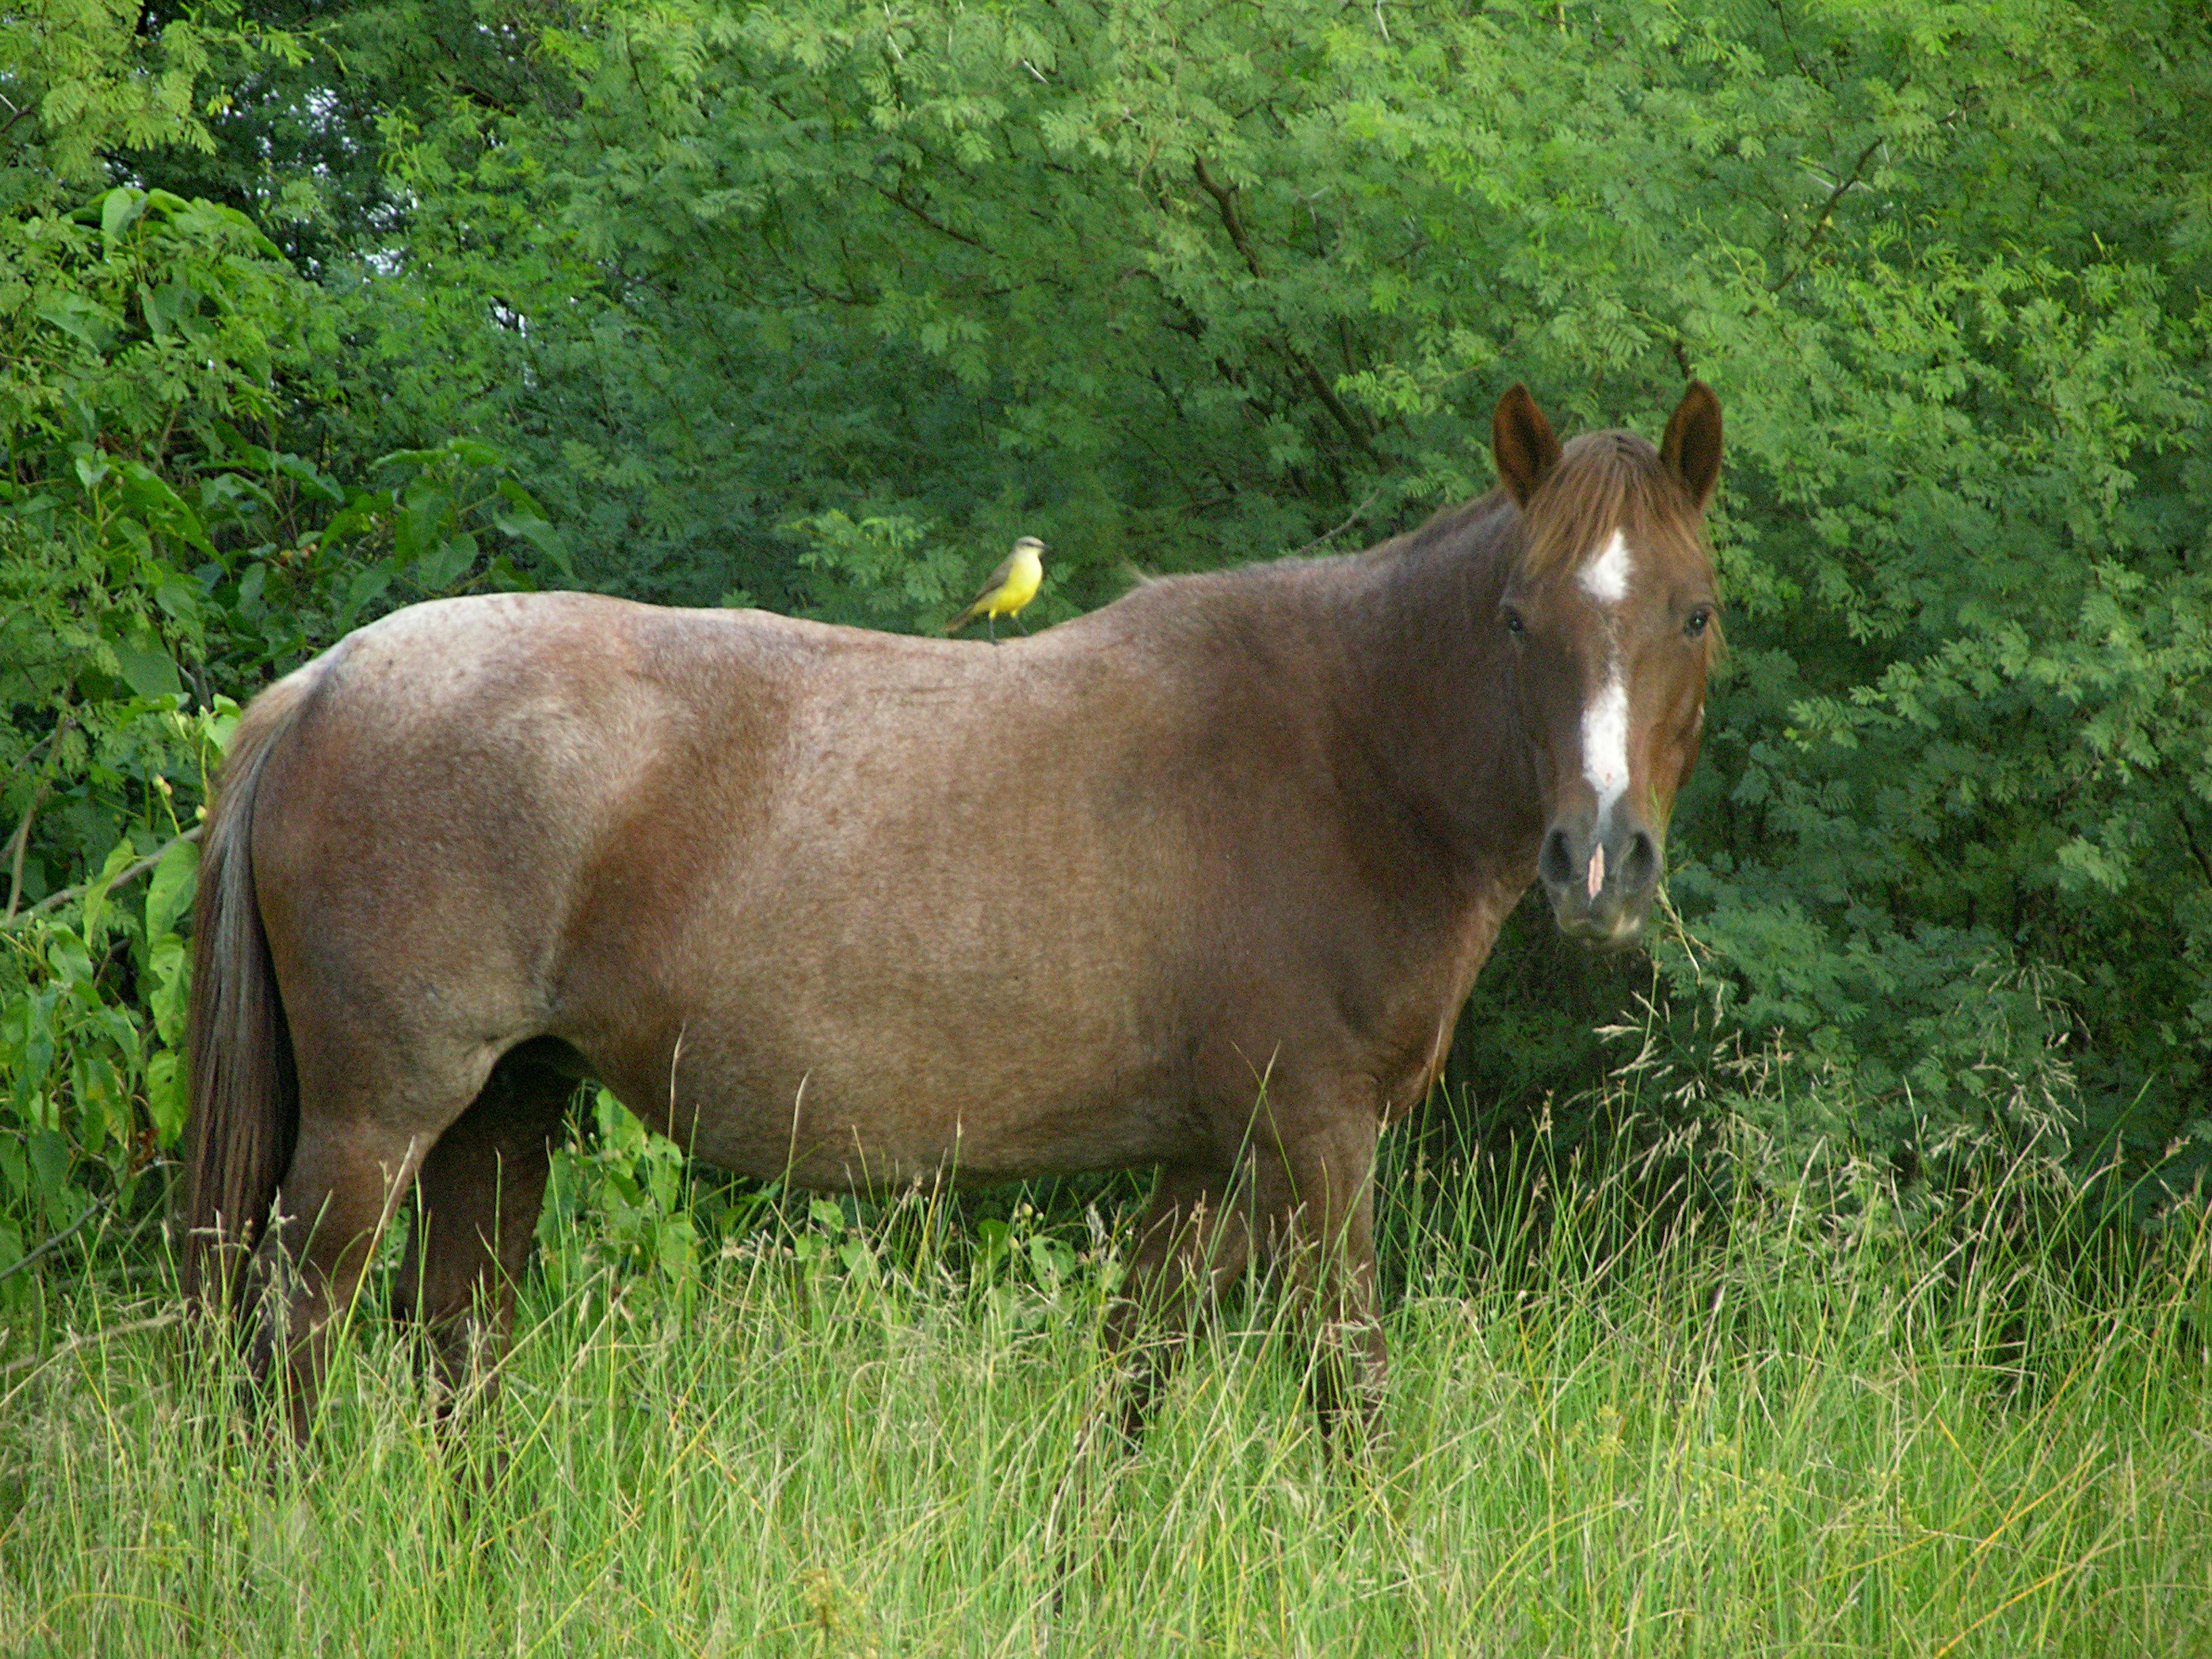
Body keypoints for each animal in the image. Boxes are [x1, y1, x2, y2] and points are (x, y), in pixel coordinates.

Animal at [181, 382, 1725, 1451]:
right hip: (379, 1122)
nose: (1600, 862)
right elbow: (1352, 1392)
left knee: (459, 1351)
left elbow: (1131, 1387)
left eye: (1695, 613)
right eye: (1516, 616)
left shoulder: (1211, 1161)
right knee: (292, 1345)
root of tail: (322, 684)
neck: (1339, 751)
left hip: (506, 1109)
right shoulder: (1318, 1140)